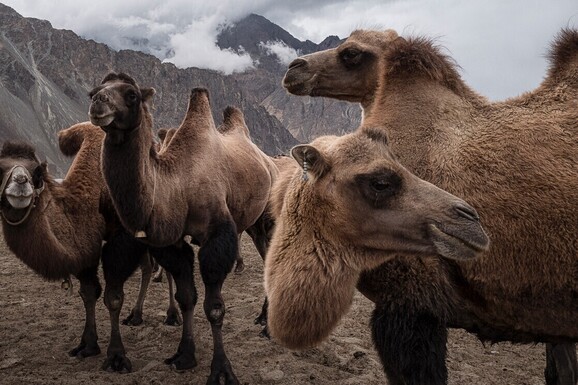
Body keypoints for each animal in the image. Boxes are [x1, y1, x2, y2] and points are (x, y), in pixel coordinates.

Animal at [89, 73, 278, 384]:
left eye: (131, 94)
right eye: (93, 90)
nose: (97, 102)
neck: (178, 183)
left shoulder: (217, 234)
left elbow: (214, 308)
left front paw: (221, 369)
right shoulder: (172, 243)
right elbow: (187, 296)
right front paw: (185, 355)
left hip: (266, 215)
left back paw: (267, 325)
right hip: (251, 223)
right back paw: (263, 317)